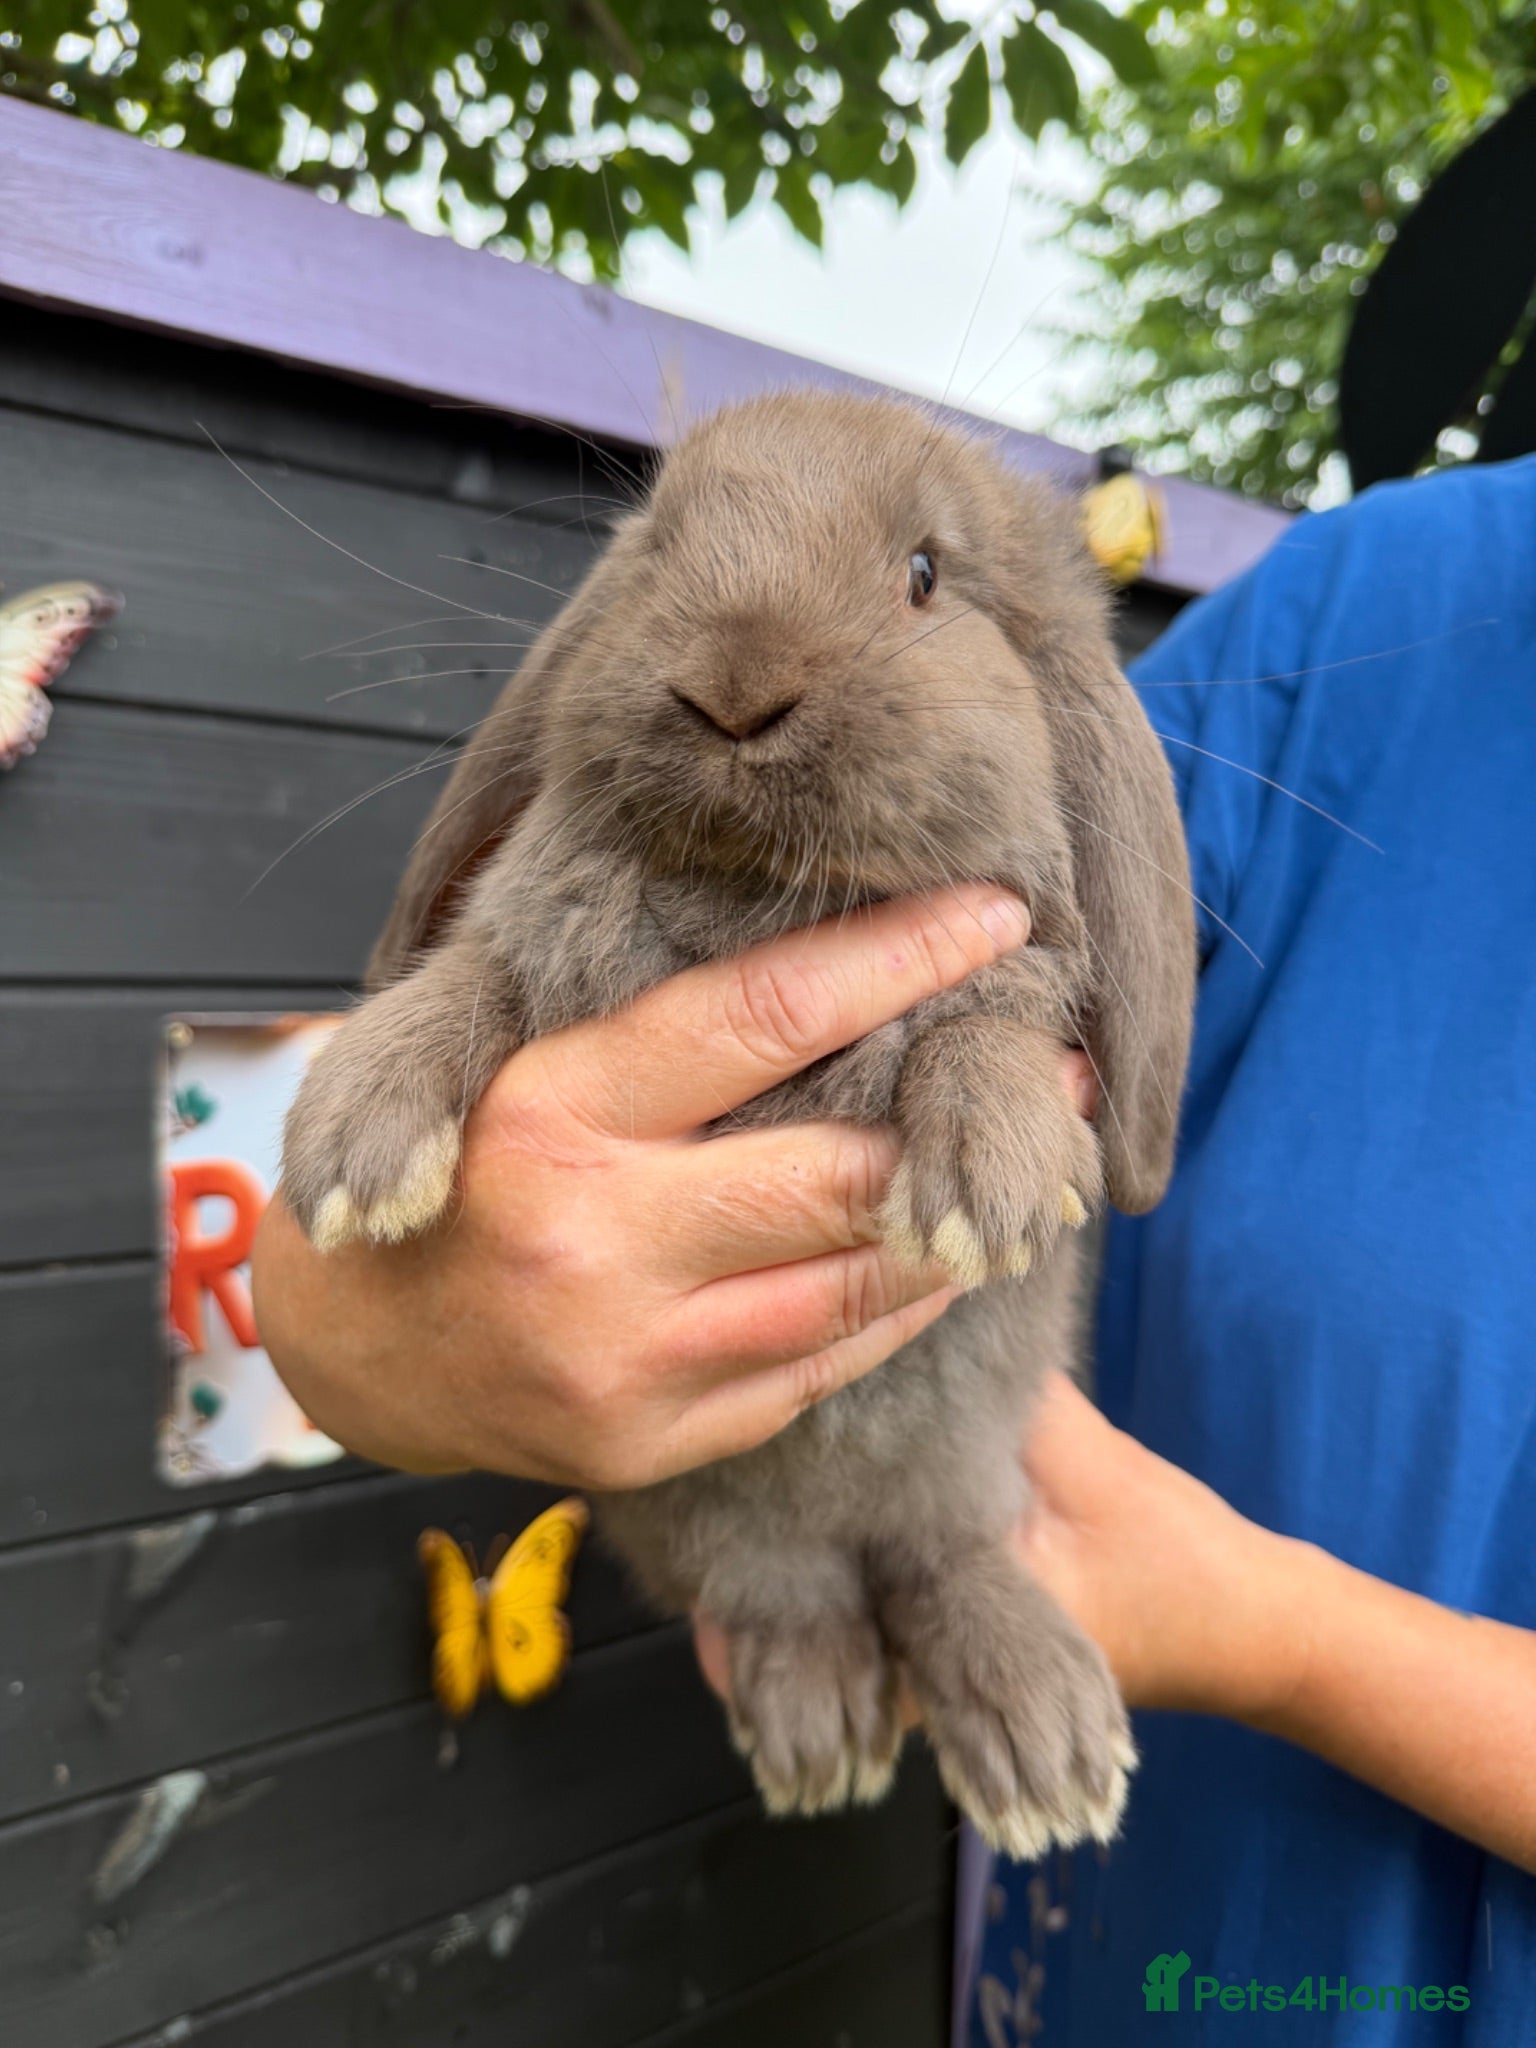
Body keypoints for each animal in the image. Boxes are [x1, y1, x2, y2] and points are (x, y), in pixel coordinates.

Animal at [281, 391, 1195, 1856]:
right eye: (656, 548)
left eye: (927, 573)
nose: (734, 685)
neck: (760, 894)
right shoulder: (537, 942)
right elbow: (474, 979)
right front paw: (350, 1149)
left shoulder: (1006, 970)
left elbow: (992, 1024)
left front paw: (993, 1186)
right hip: (709, 1519)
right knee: (787, 1595)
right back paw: (825, 1732)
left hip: (958, 1463)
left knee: (946, 1559)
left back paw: (1043, 1752)